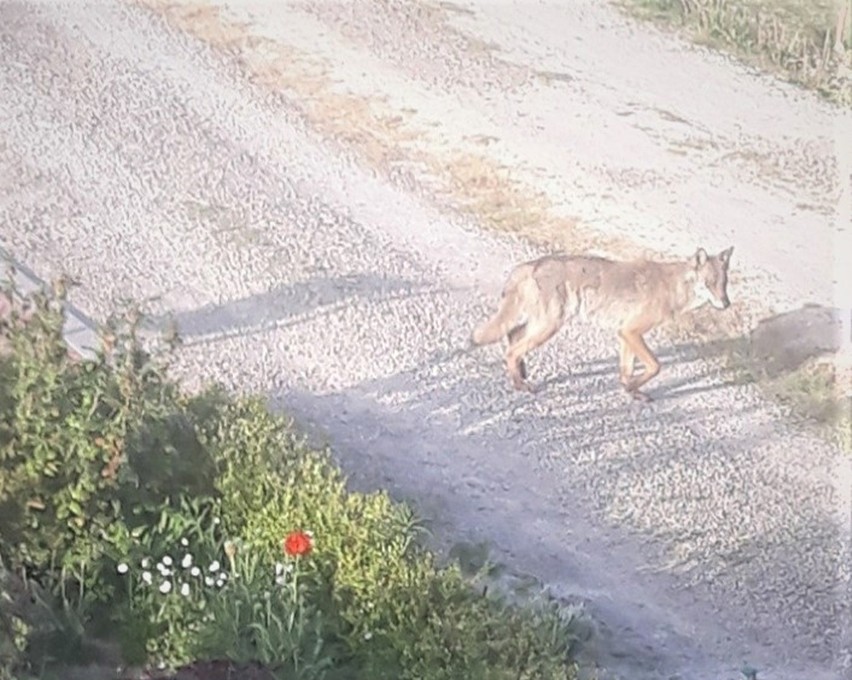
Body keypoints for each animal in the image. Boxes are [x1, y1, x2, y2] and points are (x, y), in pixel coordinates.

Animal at [470, 247, 736, 402]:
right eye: (709, 283)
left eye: (724, 283)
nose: (726, 303)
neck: (673, 288)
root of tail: (529, 265)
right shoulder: (631, 332)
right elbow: (655, 366)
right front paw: (631, 388)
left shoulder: (625, 334)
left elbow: (627, 370)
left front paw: (631, 390)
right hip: (549, 326)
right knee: (511, 350)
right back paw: (520, 384)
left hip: (539, 324)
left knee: (513, 339)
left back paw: (522, 373)